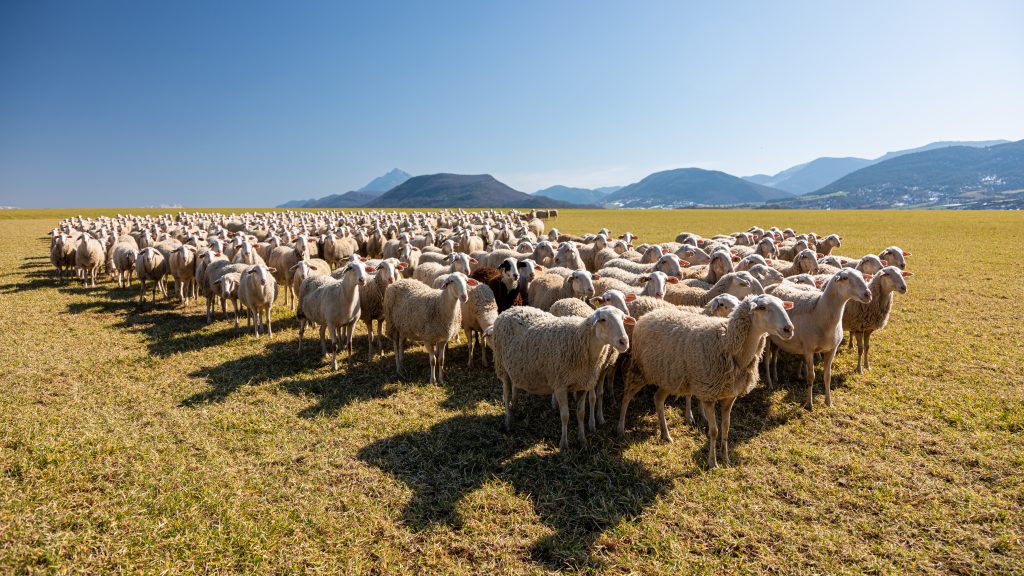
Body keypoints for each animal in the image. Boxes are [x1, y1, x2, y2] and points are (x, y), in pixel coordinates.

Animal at [489, 305, 630, 448]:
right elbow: (565, 416)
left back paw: (515, 409)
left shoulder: (582, 385)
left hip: (514, 367)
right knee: (506, 395)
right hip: (502, 366)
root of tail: (509, 310)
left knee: (515, 387)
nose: (624, 342)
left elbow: (581, 413)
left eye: (623, 318)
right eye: (603, 319)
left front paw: (582, 440)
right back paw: (508, 422)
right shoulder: (560, 385)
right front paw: (564, 444)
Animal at [618, 293, 794, 463]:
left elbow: (726, 427)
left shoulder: (730, 396)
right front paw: (712, 462)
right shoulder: (708, 394)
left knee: (658, 399)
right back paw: (620, 427)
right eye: (762, 307)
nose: (789, 329)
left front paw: (726, 459)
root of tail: (648, 315)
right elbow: (714, 431)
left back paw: (665, 434)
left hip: (669, 377)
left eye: (782, 304)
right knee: (626, 396)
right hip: (639, 368)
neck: (727, 344)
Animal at [770, 266, 872, 405]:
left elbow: (827, 376)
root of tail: (774, 285)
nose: (868, 294)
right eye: (845, 278)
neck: (819, 312)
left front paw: (828, 402)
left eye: (862, 276)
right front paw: (809, 403)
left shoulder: (832, 349)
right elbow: (811, 376)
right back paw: (772, 378)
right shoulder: (808, 350)